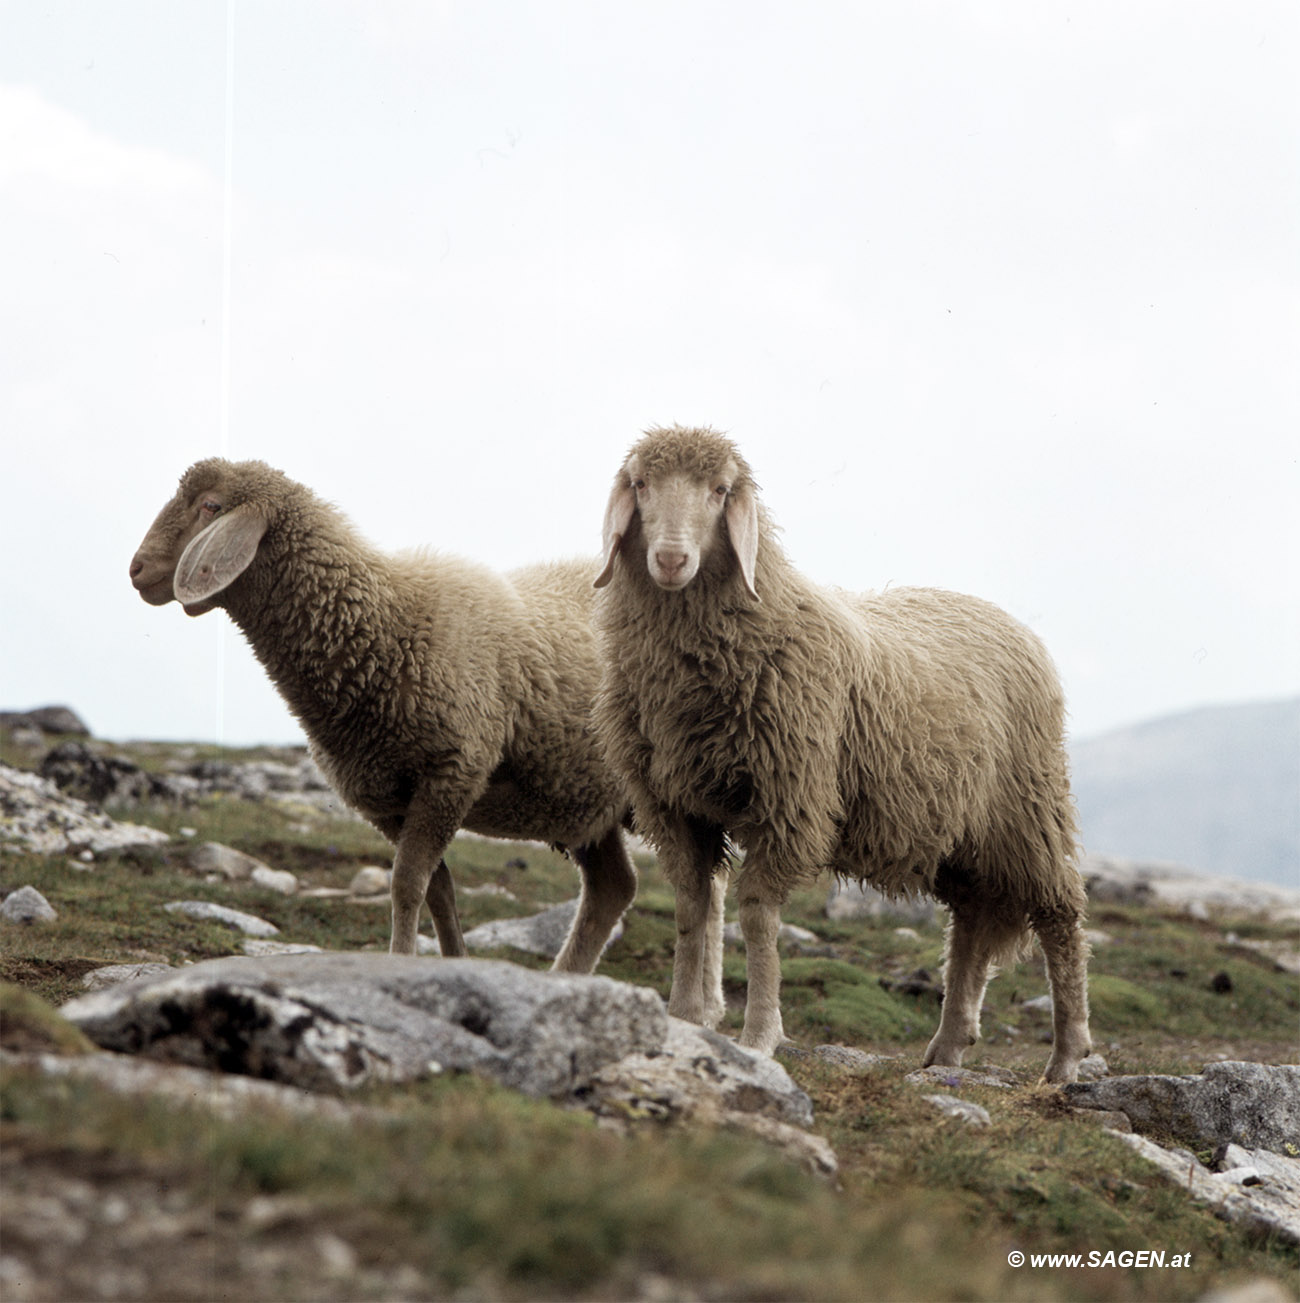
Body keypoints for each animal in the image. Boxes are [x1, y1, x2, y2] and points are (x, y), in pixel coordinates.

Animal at [132, 458, 635, 969]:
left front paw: (403, 959)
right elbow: (437, 890)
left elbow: (407, 885)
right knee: (613, 888)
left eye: (211, 506)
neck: (388, 625)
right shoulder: (384, 798)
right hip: (589, 803)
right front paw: (452, 964)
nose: (136, 570)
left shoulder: (451, 773)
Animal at [596, 424, 1094, 1078]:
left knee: (1061, 915)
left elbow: (756, 914)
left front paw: (760, 1034)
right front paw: (682, 1016)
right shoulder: (675, 804)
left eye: (721, 490)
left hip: (1030, 806)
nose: (672, 559)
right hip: (960, 830)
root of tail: (1013, 623)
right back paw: (948, 1045)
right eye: (641, 484)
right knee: (969, 924)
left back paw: (1064, 1057)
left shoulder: (790, 800)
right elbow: (691, 907)